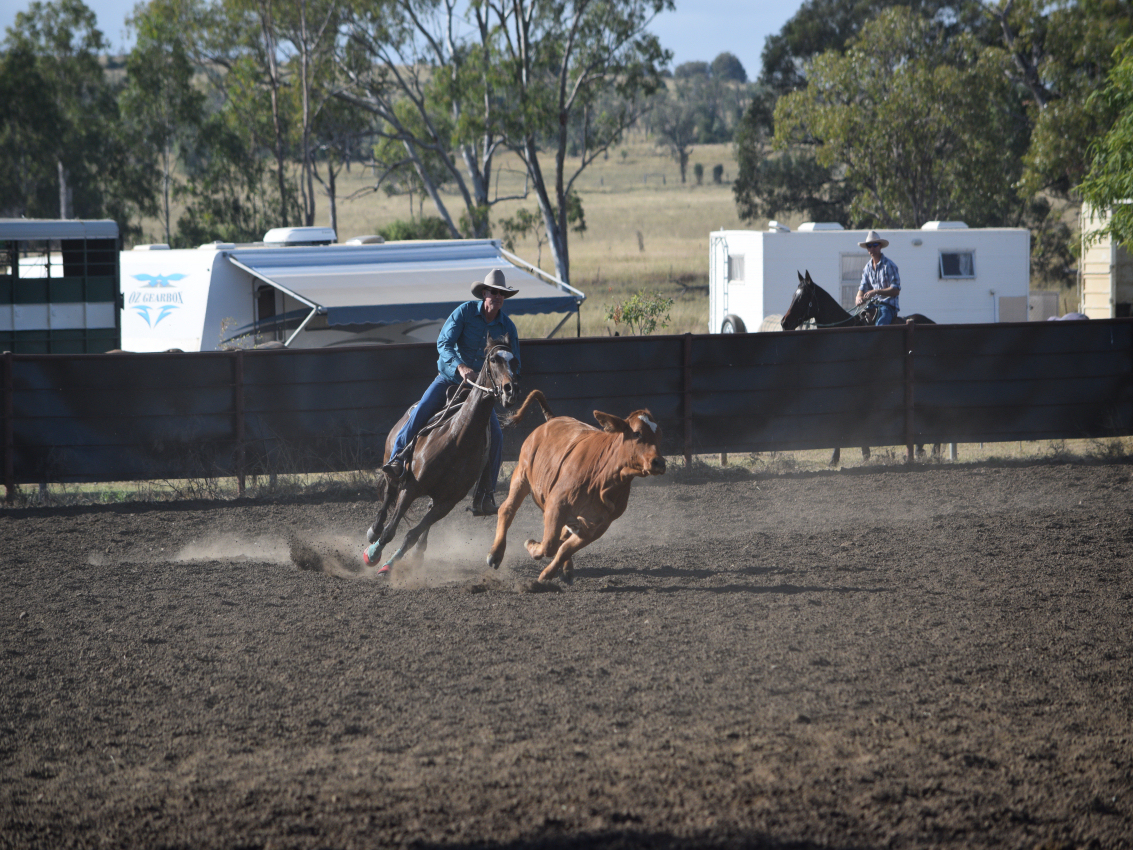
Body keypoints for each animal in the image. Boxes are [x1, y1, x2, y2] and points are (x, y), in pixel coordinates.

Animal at [486, 390, 666, 585]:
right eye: (637, 433)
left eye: (659, 435)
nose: (659, 462)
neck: (604, 477)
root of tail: (552, 420)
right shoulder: (557, 504)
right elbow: (549, 545)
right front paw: (532, 546)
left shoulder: (598, 525)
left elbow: (564, 548)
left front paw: (547, 573)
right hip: (522, 474)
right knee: (507, 509)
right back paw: (495, 554)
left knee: (562, 535)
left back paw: (566, 568)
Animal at [780, 270, 940, 465]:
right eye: (793, 295)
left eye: (803, 297)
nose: (784, 323)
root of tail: (932, 323)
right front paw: (863, 452)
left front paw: (838, 456)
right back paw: (923, 449)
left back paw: (931, 451)